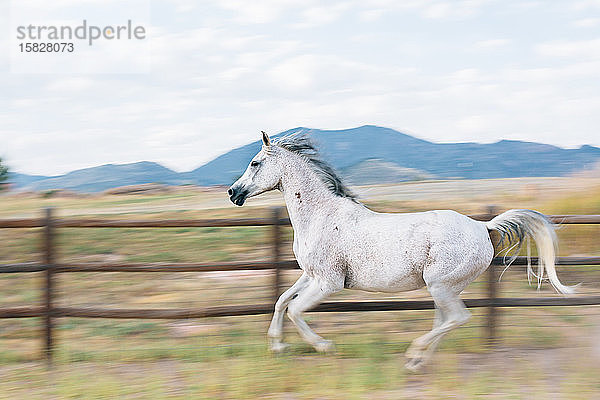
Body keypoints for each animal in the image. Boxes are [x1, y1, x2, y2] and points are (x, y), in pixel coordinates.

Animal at [227, 132, 576, 372]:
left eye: (255, 163)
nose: (232, 192)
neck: (321, 215)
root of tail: (482, 227)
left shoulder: (329, 283)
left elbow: (296, 310)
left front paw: (324, 346)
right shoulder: (310, 275)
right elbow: (281, 301)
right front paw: (277, 347)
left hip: (441, 285)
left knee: (458, 318)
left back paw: (413, 353)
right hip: (444, 288)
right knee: (444, 319)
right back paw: (417, 361)